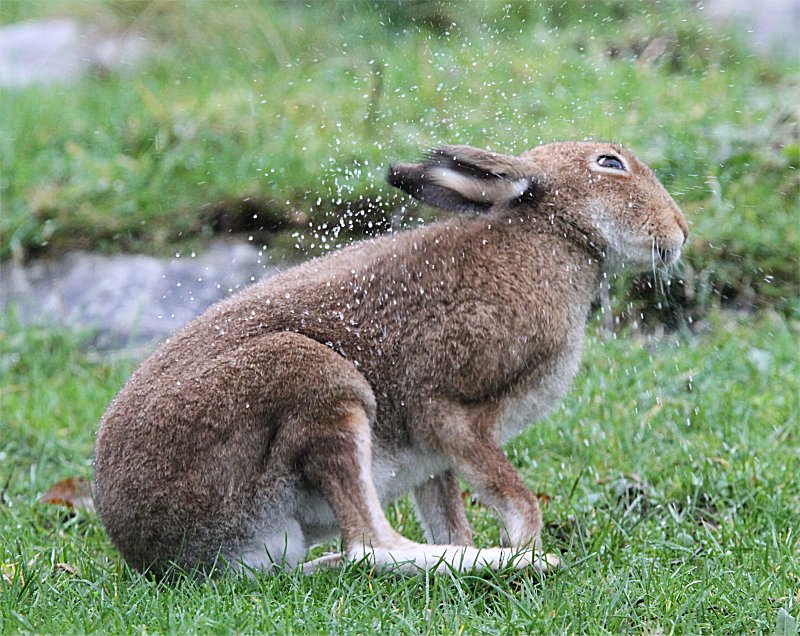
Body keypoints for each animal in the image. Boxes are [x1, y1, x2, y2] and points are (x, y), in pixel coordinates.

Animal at [94, 141, 688, 578]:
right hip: (319, 386)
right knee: (371, 544)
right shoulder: (449, 411)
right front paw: (525, 548)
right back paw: (513, 564)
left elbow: (450, 515)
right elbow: (519, 502)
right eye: (609, 163)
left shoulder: (433, 458)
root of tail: (154, 549)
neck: (554, 237)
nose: (681, 230)